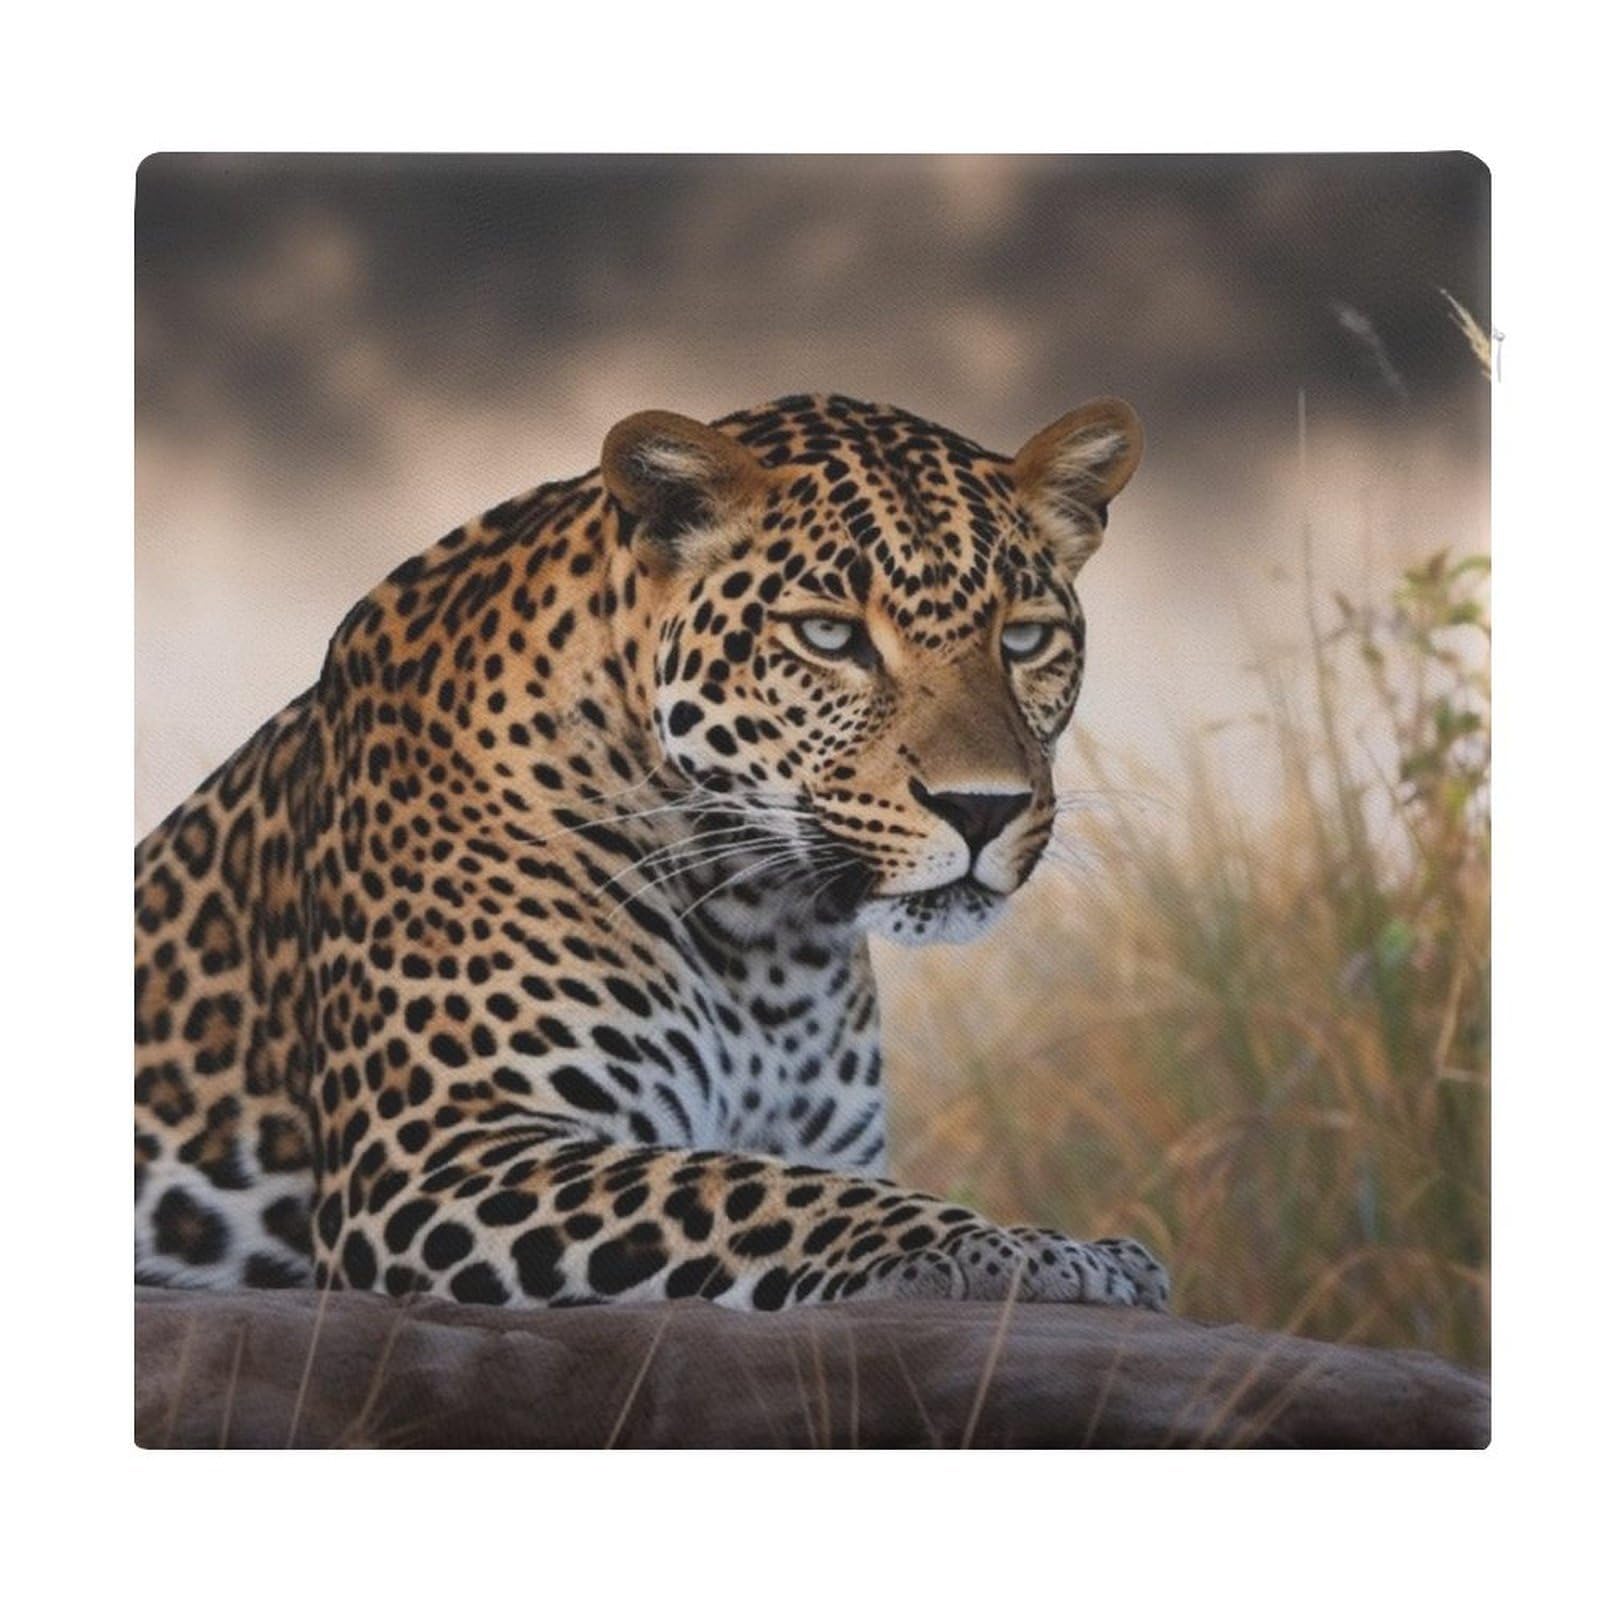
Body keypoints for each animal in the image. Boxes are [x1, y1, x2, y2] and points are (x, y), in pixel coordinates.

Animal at [134, 391, 1170, 1314]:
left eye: (1025, 638)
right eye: (829, 634)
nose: (982, 809)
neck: (769, 932)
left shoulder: (824, 1136)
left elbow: (790, 1177)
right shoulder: (433, 1160)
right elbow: (751, 1190)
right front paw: (1027, 1250)